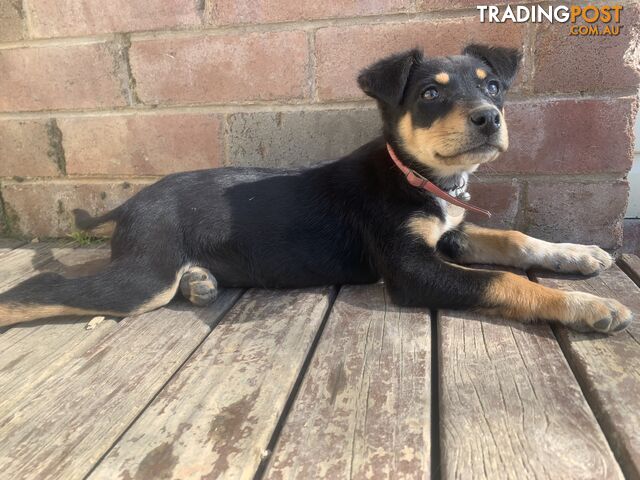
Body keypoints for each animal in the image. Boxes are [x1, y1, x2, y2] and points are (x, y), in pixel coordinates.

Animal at [0, 45, 632, 334]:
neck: (416, 176)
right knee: (44, 286)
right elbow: (503, 279)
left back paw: (201, 282)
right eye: (430, 94)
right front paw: (590, 306)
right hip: (143, 277)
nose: (488, 118)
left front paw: (581, 256)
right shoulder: (409, 268)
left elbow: (514, 241)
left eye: (493, 86)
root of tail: (128, 203)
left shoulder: (446, 236)